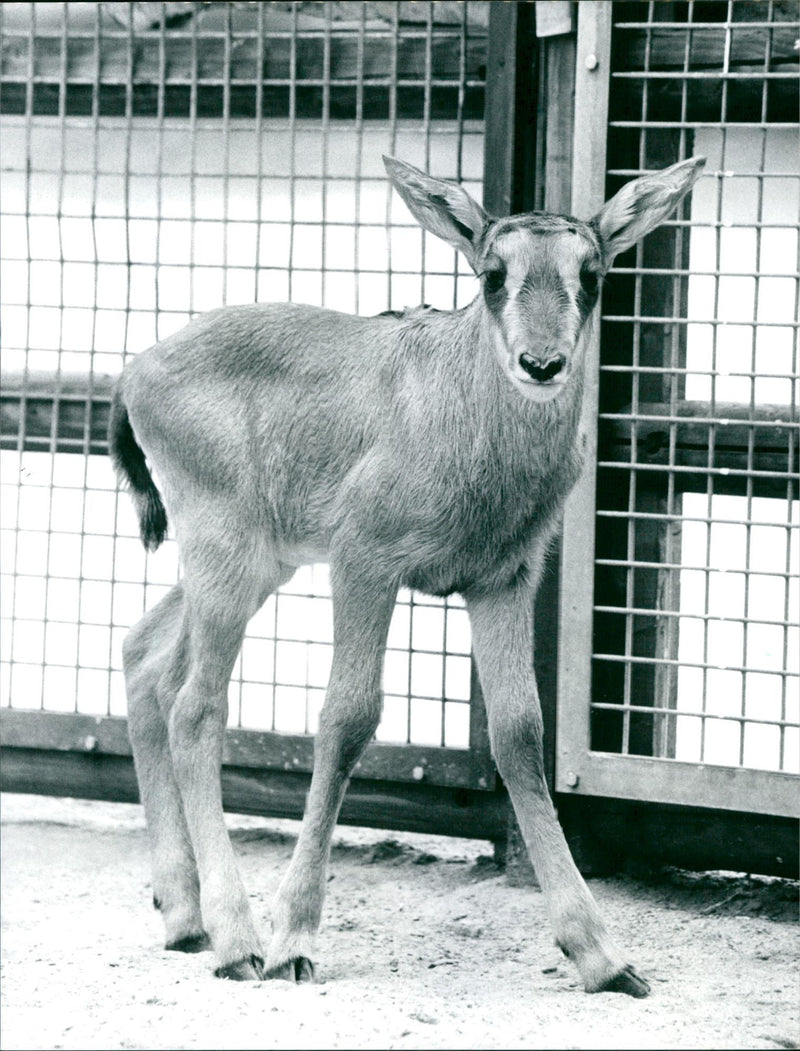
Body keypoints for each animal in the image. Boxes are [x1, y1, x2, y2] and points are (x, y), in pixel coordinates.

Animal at [110, 154, 704, 996]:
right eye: (492, 273)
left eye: (591, 273)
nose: (542, 364)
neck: (457, 411)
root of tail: (136, 375)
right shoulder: (366, 561)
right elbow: (348, 719)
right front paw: (296, 938)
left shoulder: (502, 579)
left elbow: (521, 733)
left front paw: (602, 954)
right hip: (228, 557)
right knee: (193, 706)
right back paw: (238, 939)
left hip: (249, 564)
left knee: (146, 656)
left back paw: (184, 913)